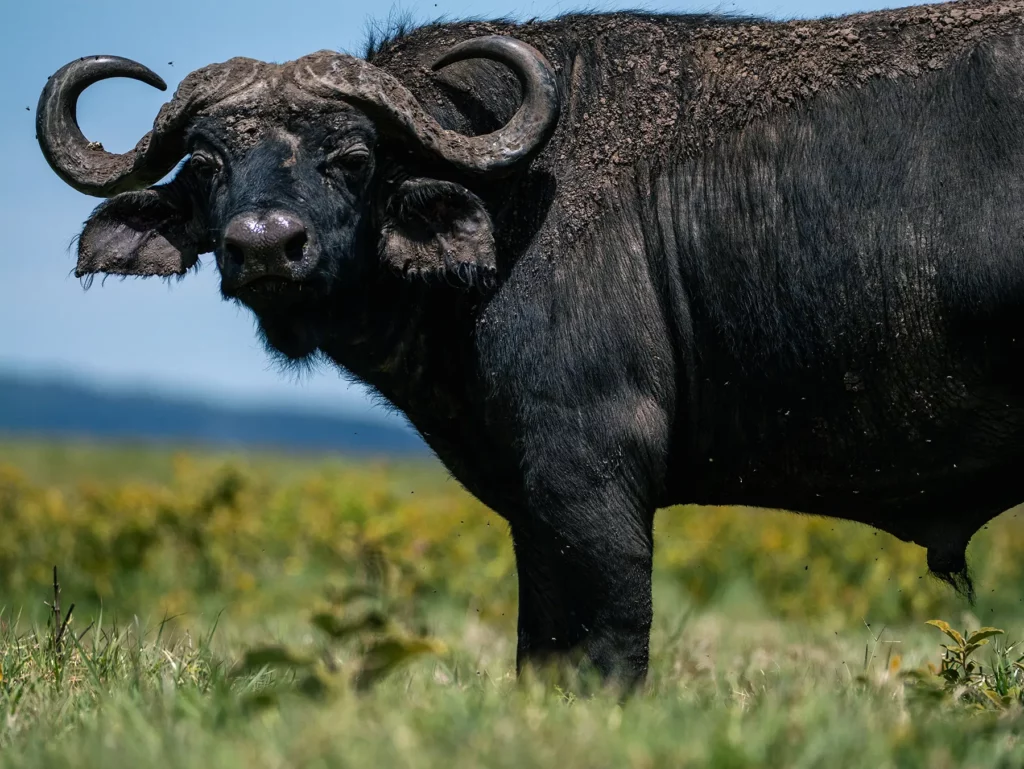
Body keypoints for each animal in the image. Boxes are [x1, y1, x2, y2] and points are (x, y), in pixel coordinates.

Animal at [36, 0, 1024, 687]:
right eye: (205, 164)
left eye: (353, 158)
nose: (264, 243)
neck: (508, 211)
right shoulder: (530, 503)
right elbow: (538, 648)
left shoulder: (590, 473)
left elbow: (607, 644)